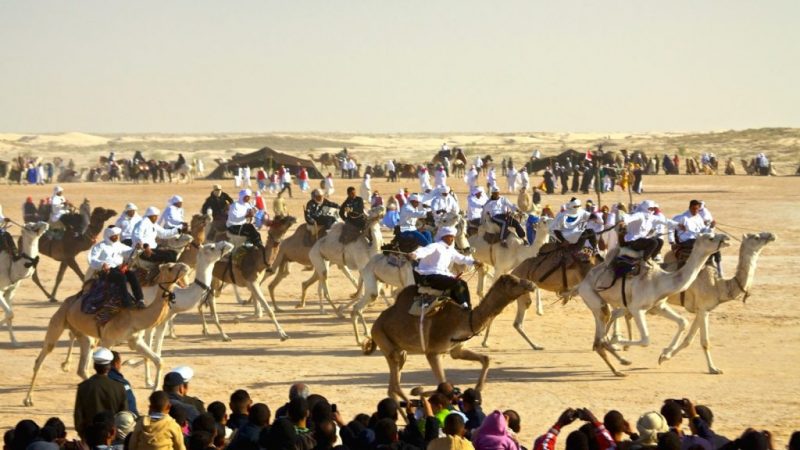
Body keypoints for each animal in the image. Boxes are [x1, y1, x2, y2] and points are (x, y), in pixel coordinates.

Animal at [23, 262, 189, 406]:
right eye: (170, 267)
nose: (185, 266)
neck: (135, 316)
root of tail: (71, 299)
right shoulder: (108, 340)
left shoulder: (135, 341)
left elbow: (159, 360)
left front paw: (155, 389)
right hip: (58, 321)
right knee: (41, 357)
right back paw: (27, 400)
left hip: (84, 336)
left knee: (82, 367)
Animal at [362, 274, 536, 400]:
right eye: (514, 281)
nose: (532, 284)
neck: (465, 320)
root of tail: (376, 324)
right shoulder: (433, 352)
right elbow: (443, 384)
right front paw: (423, 393)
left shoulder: (456, 349)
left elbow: (485, 359)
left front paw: (478, 389)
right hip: (384, 340)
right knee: (396, 384)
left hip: (397, 349)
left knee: (392, 386)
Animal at [576, 232, 732, 376]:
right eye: (711, 238)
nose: (726, 238)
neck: (660, 281)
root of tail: (582, 283)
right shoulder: (636, 308)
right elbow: (646, 340)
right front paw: (618, 341)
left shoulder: (658, 306)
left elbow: (683, 322)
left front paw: (664, 355)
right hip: (593, 297)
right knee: (601, 336)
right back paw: (618, 360)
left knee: (599, 340)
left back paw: (620, 366)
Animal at [664, 232, 776, 372]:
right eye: (756, 237)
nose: (772, 235)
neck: (718, 286)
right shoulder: (703, 309)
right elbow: (705, 341)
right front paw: (713, 369)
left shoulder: (702, 309)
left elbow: (689, 339)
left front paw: (664, 356)